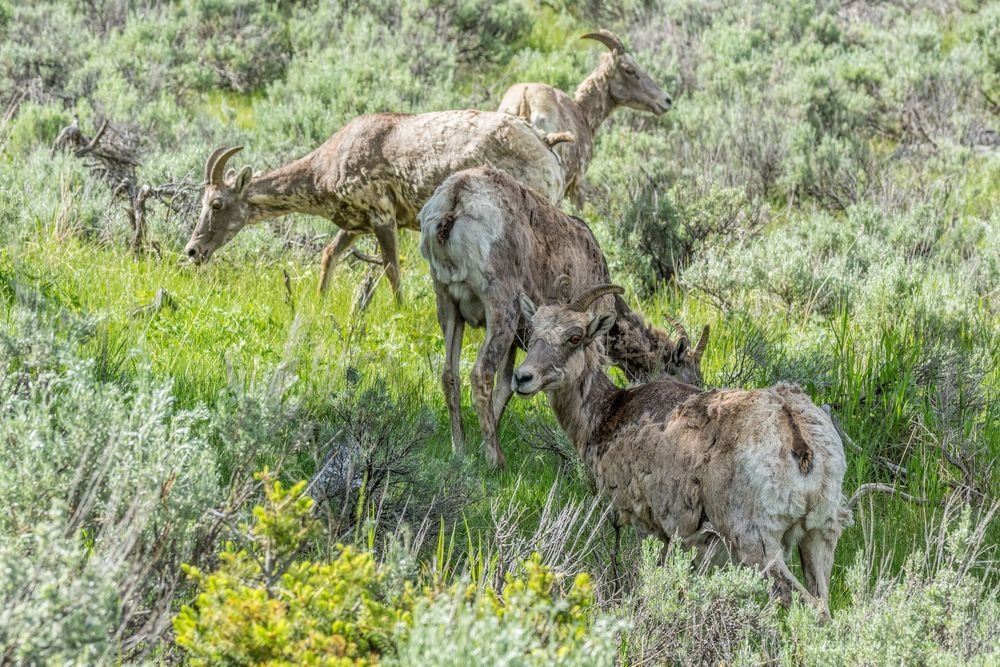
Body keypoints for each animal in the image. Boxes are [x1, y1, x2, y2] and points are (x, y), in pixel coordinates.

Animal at [184, 110, 573, 301]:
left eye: (216, 203)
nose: (192, 250)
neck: (327, 166)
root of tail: (546, 142)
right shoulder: (355, 224)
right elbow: (329, 255)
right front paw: (319, 302)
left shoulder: (382, 216)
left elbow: (391, 269)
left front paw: (400, 310)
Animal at [418, 166, 707, 469]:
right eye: (690, 380)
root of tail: (455, 199)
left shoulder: (517, 342)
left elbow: (505, 388)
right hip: (501, 308)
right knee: (480, 373)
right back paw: (497, 461)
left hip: (446, 303)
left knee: (450, 375)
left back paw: (459, 450)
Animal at [510, 285, 851, 616]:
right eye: (532, 331)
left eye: (575, 336)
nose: (522, 378)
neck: (609, 413)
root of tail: (796, 435)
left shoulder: (650, 527)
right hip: (820, 535)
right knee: (822, 603)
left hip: (757, 543)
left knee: (796, 599)